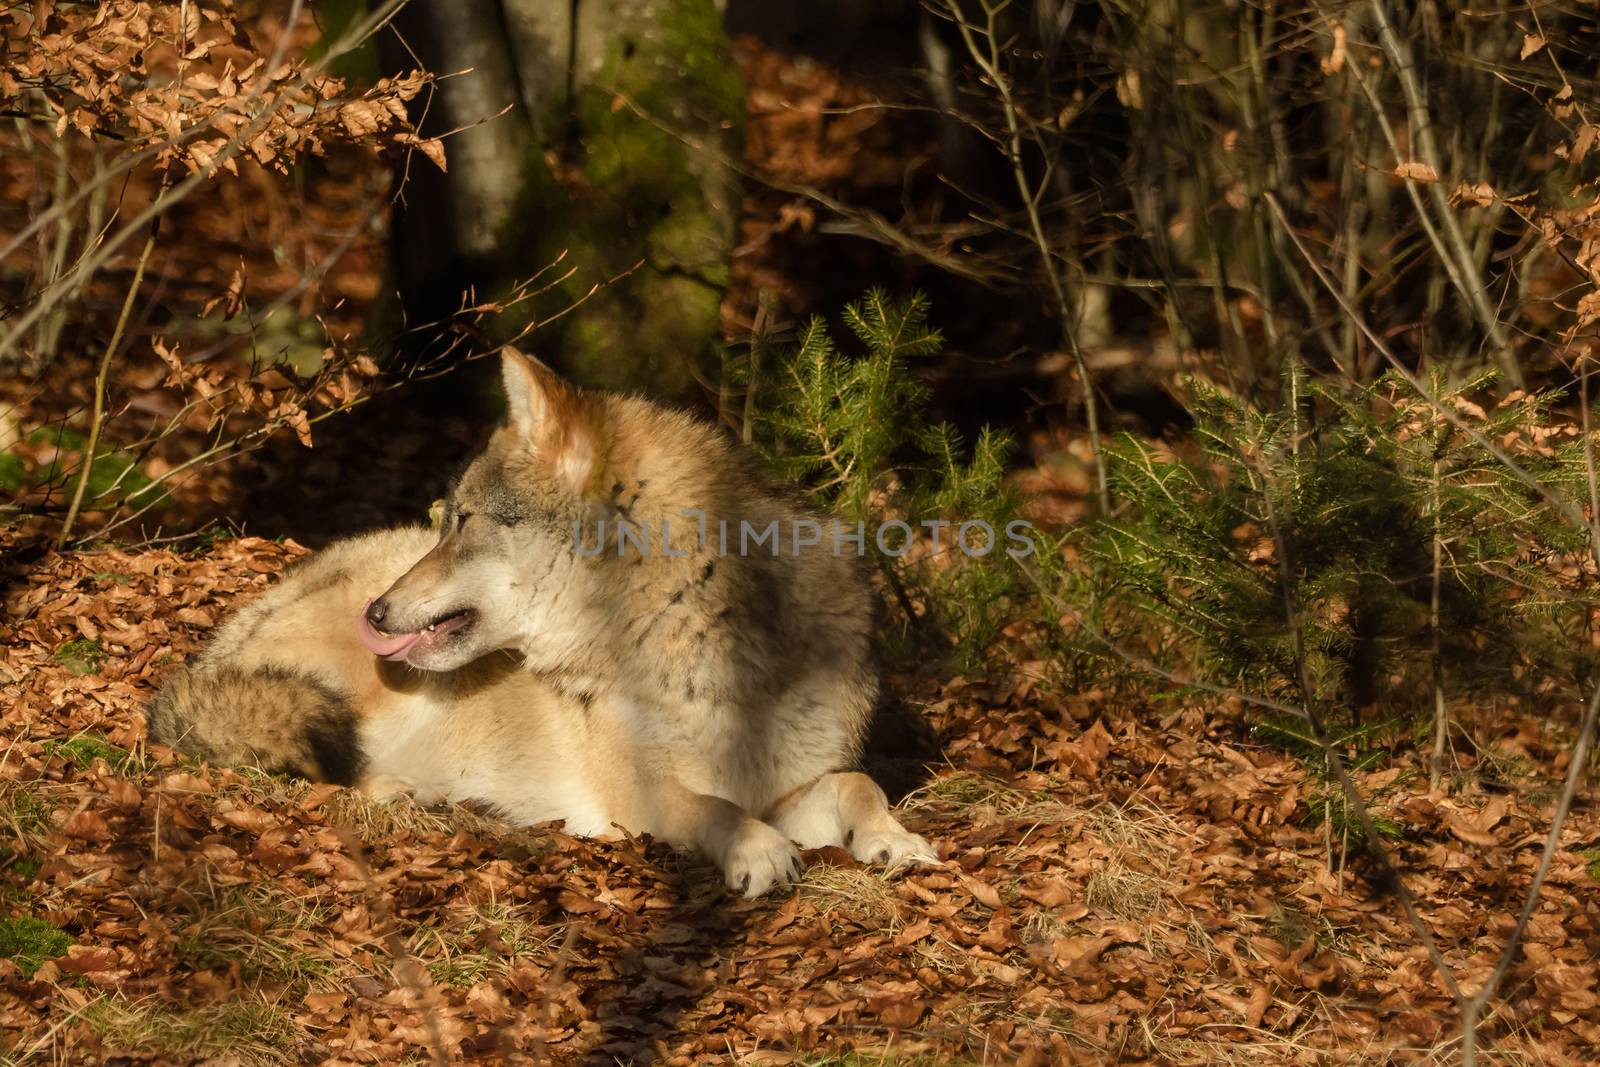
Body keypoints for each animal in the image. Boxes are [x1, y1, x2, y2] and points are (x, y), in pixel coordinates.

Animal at [150, 348, 934, 895]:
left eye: (464, 520)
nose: (377, 612)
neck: (693, 631)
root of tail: (220, 642)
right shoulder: (638, 796)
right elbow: (712, 809)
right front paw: (761, 851)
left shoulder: (792, 784)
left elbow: (859, 784)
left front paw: (895, 840)